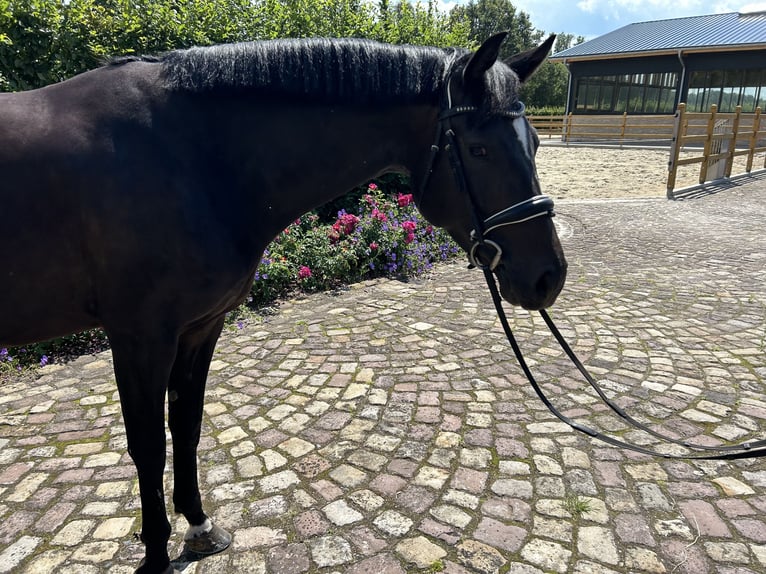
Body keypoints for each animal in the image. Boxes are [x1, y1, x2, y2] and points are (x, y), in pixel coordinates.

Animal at [0, 33, 564, 572]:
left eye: (536, 142)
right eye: (479, 149)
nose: (548, 277)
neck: (188, 155)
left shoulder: (199, 328)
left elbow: (187, 424)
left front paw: (199, 526)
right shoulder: (141, 338)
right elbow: (148, 447)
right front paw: (157, 555)